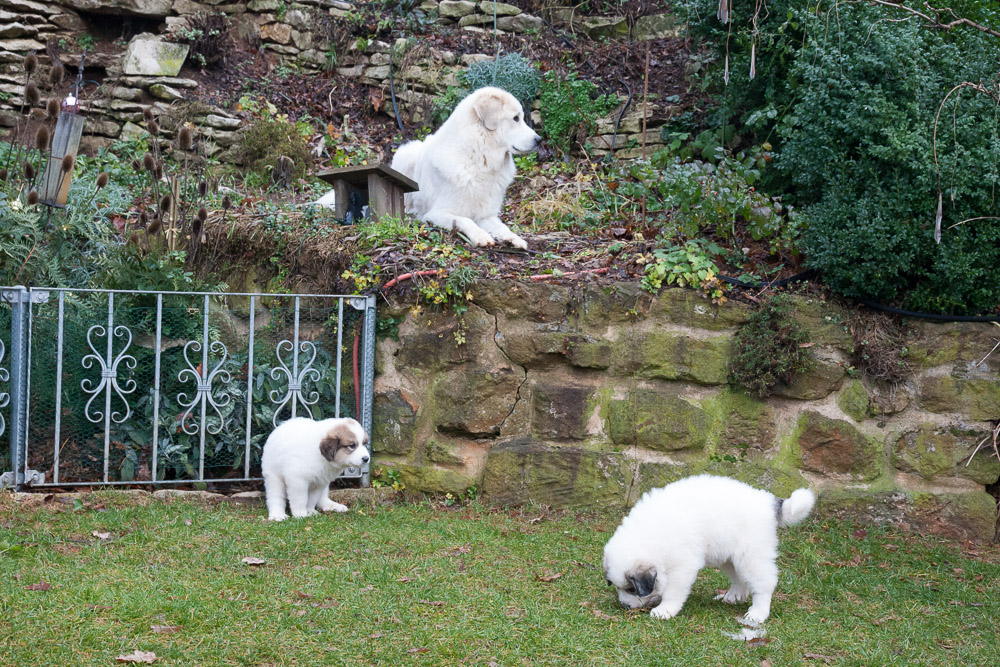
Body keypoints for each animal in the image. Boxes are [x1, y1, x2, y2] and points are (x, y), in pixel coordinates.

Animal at [388, 86, 540, 248]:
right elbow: (466, 220)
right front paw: (481, 236)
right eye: (516, 118)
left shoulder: (486, 215)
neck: (480, 160)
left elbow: (502, 226)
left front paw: (513, 238)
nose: (539, 140)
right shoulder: (436, 213)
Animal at [600, 474, 812, 628]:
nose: (624, 606)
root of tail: (768, 501)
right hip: (729, 557)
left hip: (751, 555)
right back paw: (732, 597)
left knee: (764, 582)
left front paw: (665, 610)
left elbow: (673, 591)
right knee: (739, 579)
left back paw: (757, 613)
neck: (652, 536)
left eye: (631, 589)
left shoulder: (683, 566)